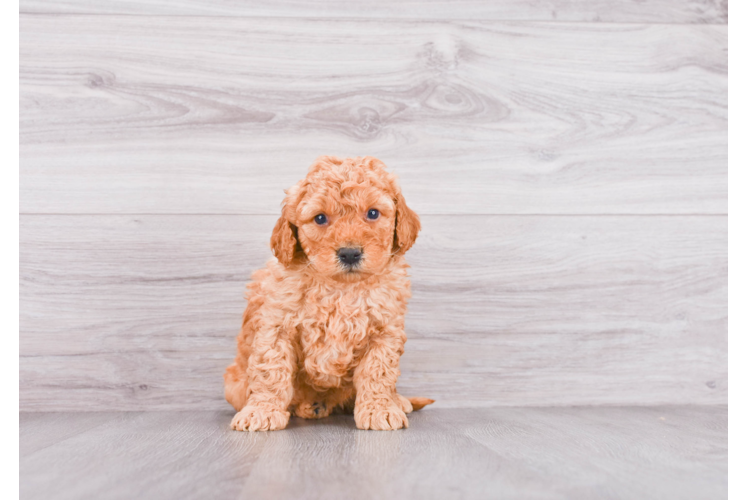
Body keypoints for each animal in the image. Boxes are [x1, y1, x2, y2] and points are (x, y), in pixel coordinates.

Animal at [222, 155, 432, 430]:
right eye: (320, 218)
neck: (341, 288)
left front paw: (379, 409)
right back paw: (310, 406)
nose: (350, 253)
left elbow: (378, 371)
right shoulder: (276, 327)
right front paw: (262, 411)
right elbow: (271, 371)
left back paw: (396, 400)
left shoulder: (385, 330)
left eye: (373, 213)